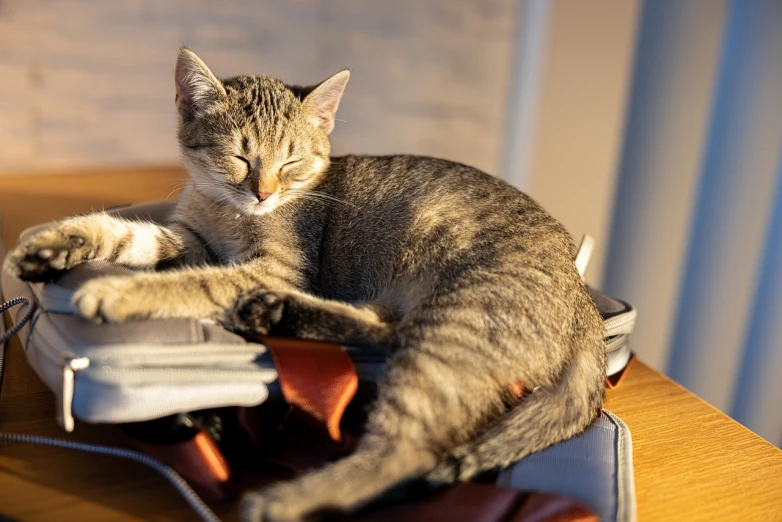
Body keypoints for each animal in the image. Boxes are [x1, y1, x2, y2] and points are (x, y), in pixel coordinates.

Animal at [7, 46, 608, 516]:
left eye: (291, 163)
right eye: (239, 156)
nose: (264, 193)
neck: (229, 213)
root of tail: (585, 304)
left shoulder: (271, 266)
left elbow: (189, 284)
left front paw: (116, 291)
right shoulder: (190, 240)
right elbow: (125, 234)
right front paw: (55, 245)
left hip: (451, 329)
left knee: (406, 450)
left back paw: (284, 499)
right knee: (384, 330)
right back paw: (277, 312)